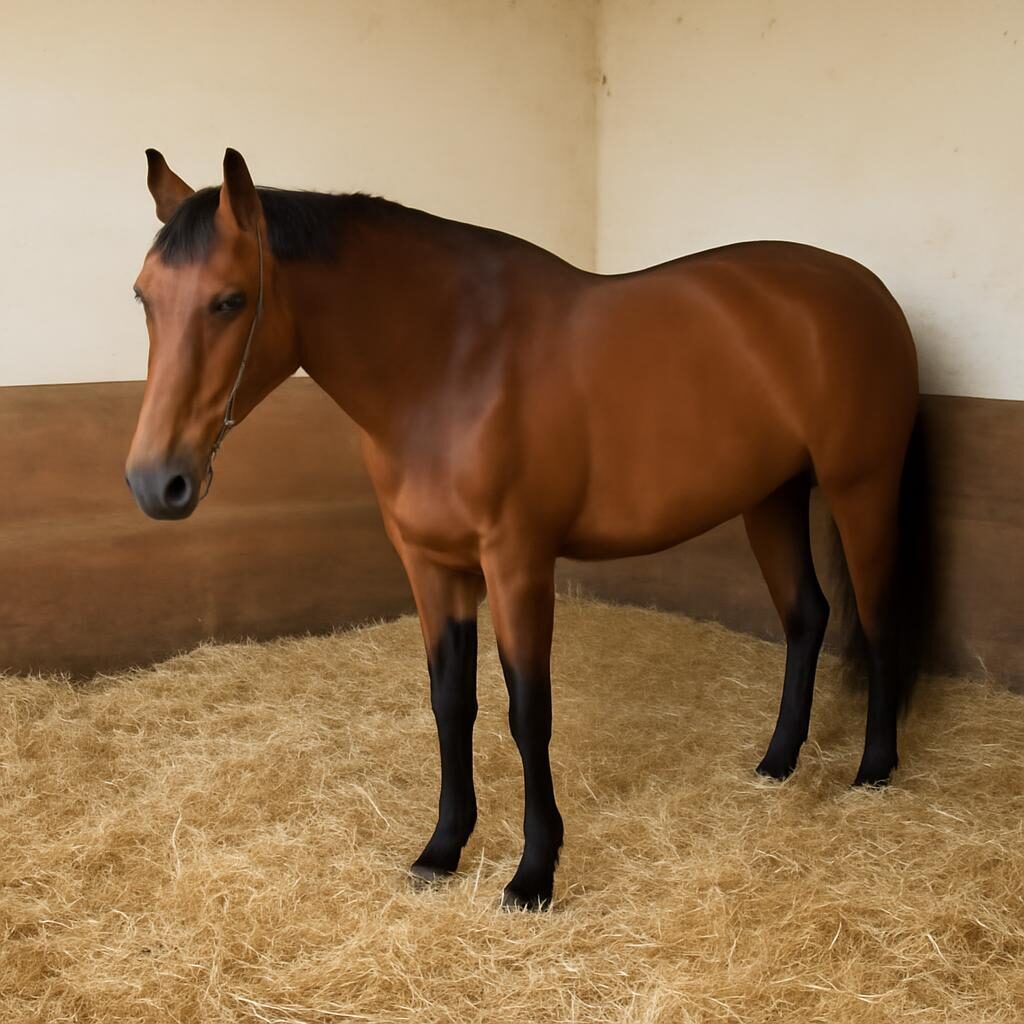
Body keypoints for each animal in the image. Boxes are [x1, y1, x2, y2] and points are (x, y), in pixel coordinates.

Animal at [126, 148, 934, 910]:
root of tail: (864, 288)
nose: (154, 482)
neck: (451, 364)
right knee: (807, 616)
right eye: (143, 297)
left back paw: (873, 771)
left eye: (229, 300)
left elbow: (527, 712)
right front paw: (442, 849)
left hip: (860, 489)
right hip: (770, 497)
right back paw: (777, 762)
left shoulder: (517, 563)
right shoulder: (431, 565)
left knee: (877, 618)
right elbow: (452, 703)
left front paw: (534, 874)